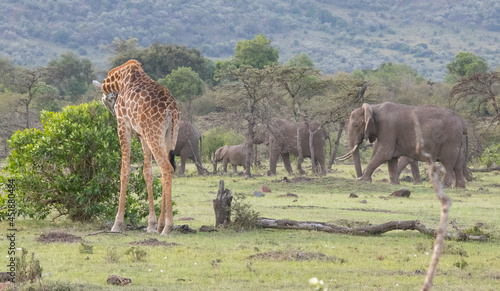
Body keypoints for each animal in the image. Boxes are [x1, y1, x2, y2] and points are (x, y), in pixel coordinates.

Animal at [93, 60, 181, 235]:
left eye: (108, 100)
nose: (113, 111)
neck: (120, 79)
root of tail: (171, 109)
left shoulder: (123, 124)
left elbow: (124, 171)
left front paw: (117, 224)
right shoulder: (142, 135)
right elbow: (147, 173)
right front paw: (152, 224)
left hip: (153, 133)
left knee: (166, 168)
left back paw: (168, 226)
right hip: (169, 134)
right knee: (168, 168)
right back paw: (161, 226)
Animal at [340, 104, 468, 188]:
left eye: (355, 126)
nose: (358, 177)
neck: (373, 107)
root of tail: (462, 122)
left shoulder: (388, 127)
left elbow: (385, 153)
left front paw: (364, 180)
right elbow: (391, 157)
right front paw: (394, 184)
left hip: (450, 139)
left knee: (449, 163)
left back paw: (444, 186)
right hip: (457, 141)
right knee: (457, 163)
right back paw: (459, 187)